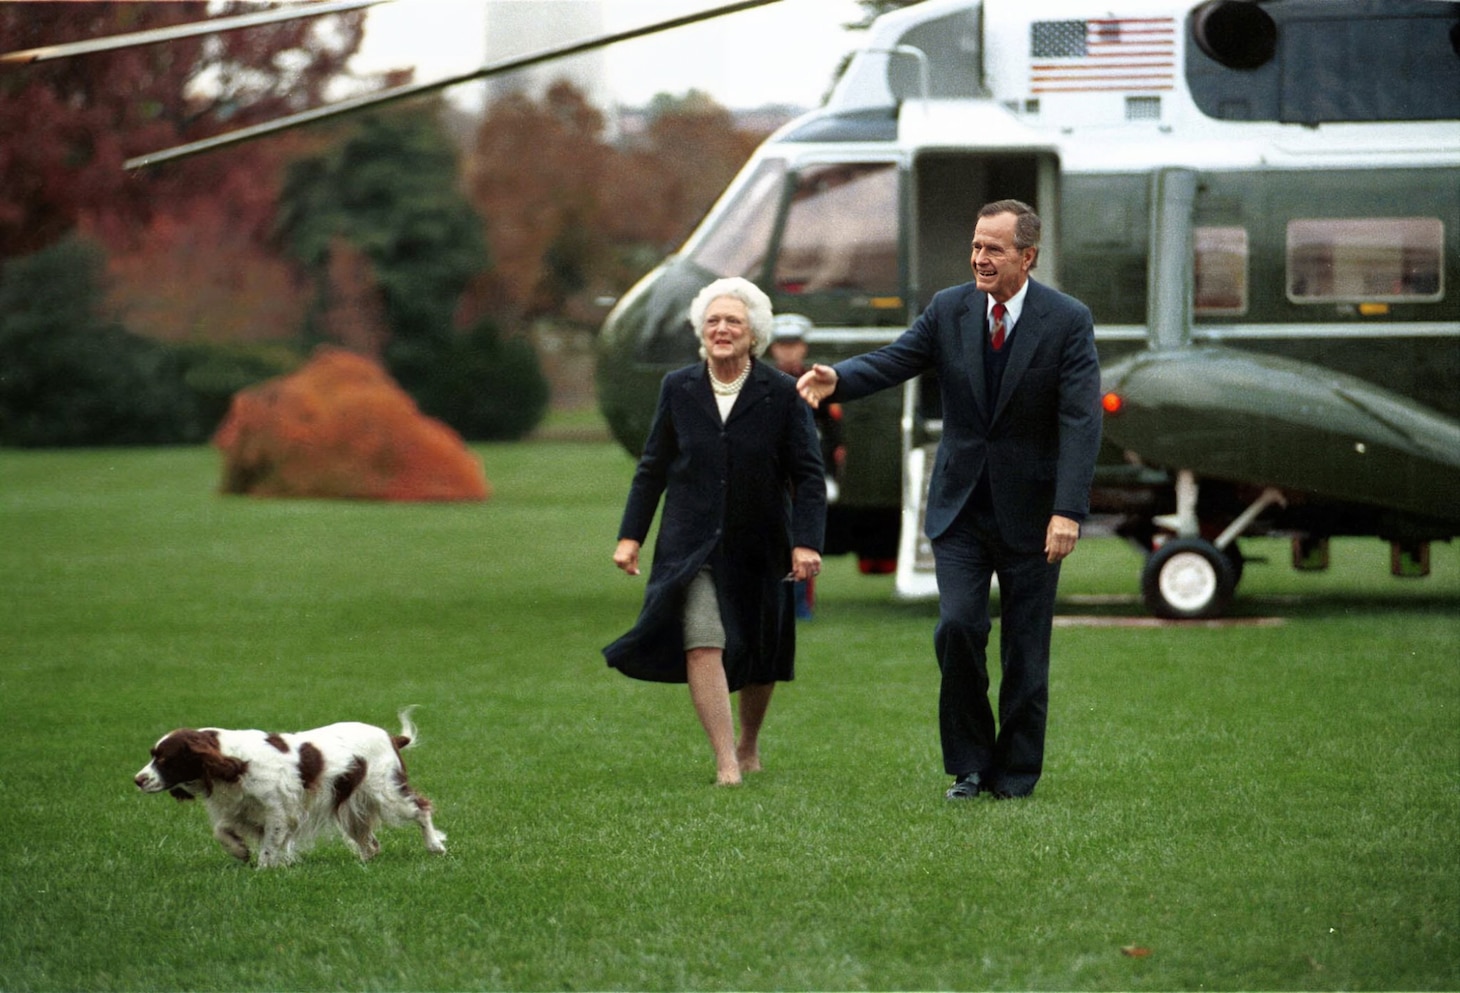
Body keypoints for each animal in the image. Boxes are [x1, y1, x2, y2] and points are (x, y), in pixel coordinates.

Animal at [137, 709, 443, 864]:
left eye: (164, 759)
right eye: (152, 755)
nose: (137, 779)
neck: (233, 761)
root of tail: (390, 737)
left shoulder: (278, 812)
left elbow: (269, 847)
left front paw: (264, 869)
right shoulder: (239, 808)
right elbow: (221, 830)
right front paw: (239, 850)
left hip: (387, 793)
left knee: (421, 809)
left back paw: (435, 845)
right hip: (352, 807)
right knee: (371, 841)